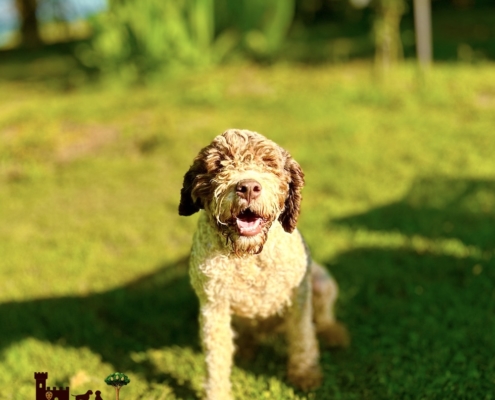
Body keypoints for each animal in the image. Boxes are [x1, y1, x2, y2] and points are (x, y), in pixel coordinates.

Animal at [179, 130, 348, 398]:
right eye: (219, 165)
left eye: (268, 163)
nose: (248, 187)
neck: (249, 255)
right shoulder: (213, 306)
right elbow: (216, 357)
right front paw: (217, 393)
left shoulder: (299, 296)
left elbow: (303, 335)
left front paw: (305, 375)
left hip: (321, 281)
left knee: (322, 316)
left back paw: (334, 333)